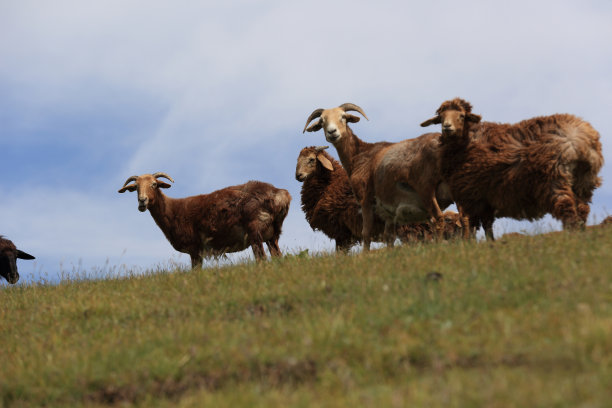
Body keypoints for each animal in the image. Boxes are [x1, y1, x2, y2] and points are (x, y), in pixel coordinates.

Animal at [120, 172, 292, 268]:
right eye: (136, 187)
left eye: (154, 184)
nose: (142, 201)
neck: (172, 211)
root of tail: (281, 195)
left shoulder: (195, 247)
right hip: (273, 233)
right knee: (277, 256)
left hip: (254, 231)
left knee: (261, 259)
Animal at [420, 97, 604, 241]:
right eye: (441, 117)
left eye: (462, 116)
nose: (447, 127)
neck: (465, 142)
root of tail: (581, 139)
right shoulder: (485, 200)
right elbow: (487, 228)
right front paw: (491, 245)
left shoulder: (473, 197)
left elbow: (472, 226)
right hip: (583, 183)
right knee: (582, 212)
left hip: (555, 179)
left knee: (569, 213)